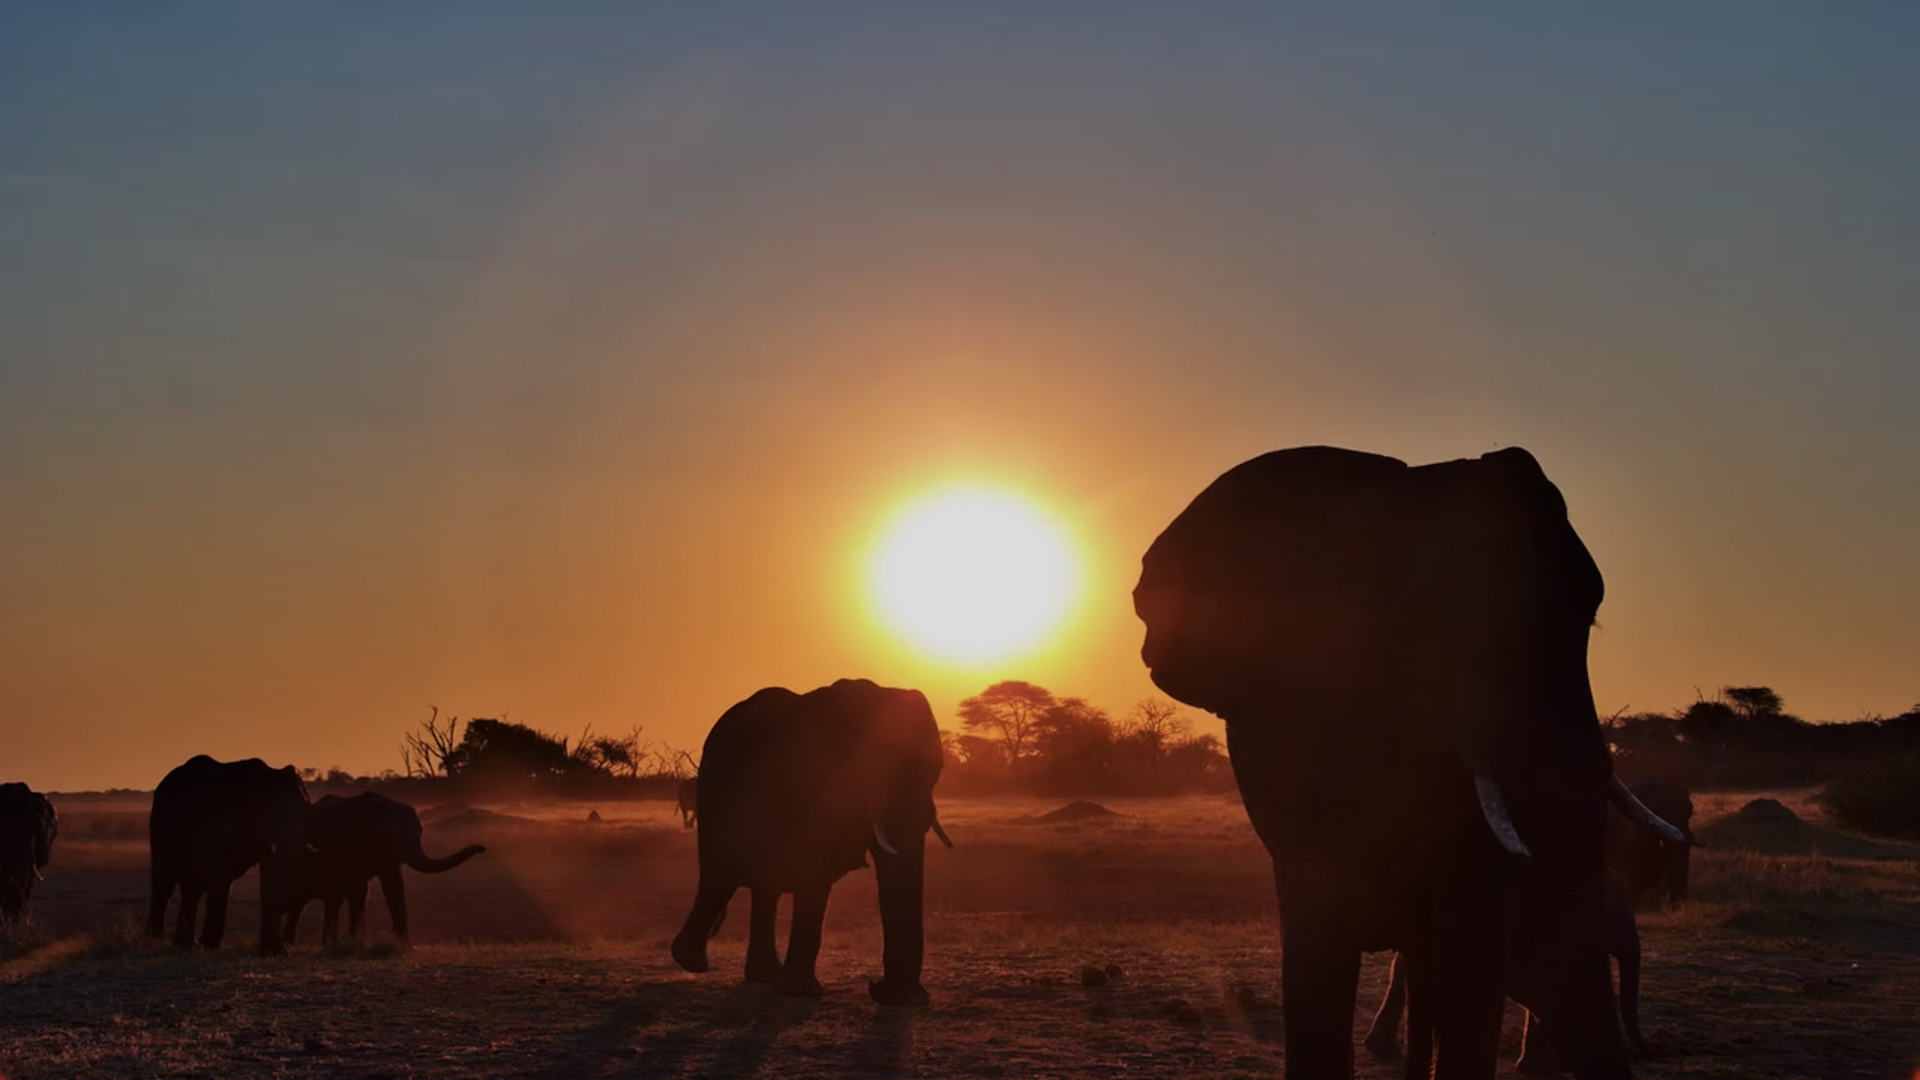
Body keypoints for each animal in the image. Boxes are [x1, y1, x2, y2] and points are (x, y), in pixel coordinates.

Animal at [146, 755, 310, 955]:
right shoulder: (221, 826)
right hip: (161, 825)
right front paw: (210, 947)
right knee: (165, 882)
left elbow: (270, 873)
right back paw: (153, 940)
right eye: (275, 811)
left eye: (307, 815)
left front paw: (274, 953)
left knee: (193, 888)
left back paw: (185, 945)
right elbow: (220, 878)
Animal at [282, 792, 486, 947]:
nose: (482, 849)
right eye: (390, 834)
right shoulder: (351, 843)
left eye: (420, 832)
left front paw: (405, 947)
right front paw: (358, 942)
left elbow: (394, 886)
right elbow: (359, 888)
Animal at [670, 678, 954, 1005]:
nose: (876, 987)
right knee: (720, 876)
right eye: (871, 768)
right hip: (714, 795)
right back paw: (692, 962)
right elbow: (814, 873)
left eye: (936, 772)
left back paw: (762, 976)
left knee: (763, 887)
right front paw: (802, 993)